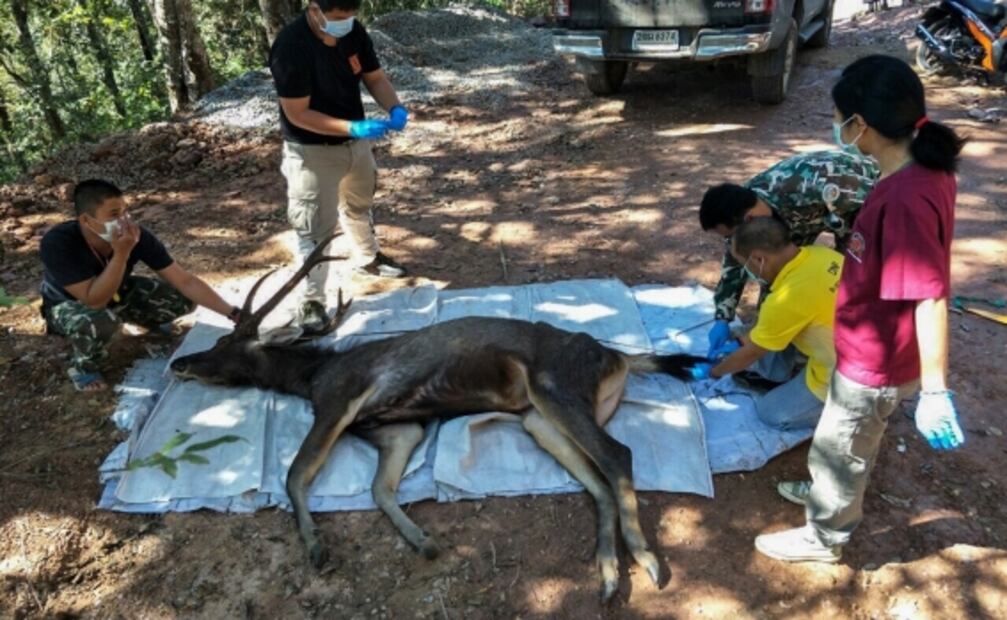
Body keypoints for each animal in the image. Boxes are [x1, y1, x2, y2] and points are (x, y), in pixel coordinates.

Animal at [169, 233, 707, 602]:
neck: (311, 374)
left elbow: (295, 473)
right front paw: (423, 542)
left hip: (555, 386)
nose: (180, 364)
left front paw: (316, 547)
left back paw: (646, 560)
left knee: (618, 455)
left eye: (224, 344)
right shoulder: (398, 428)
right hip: (538, 418)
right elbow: (379, 488)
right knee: (597, 482)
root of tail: (620, 358)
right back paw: (609, 576)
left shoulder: (340, 399)